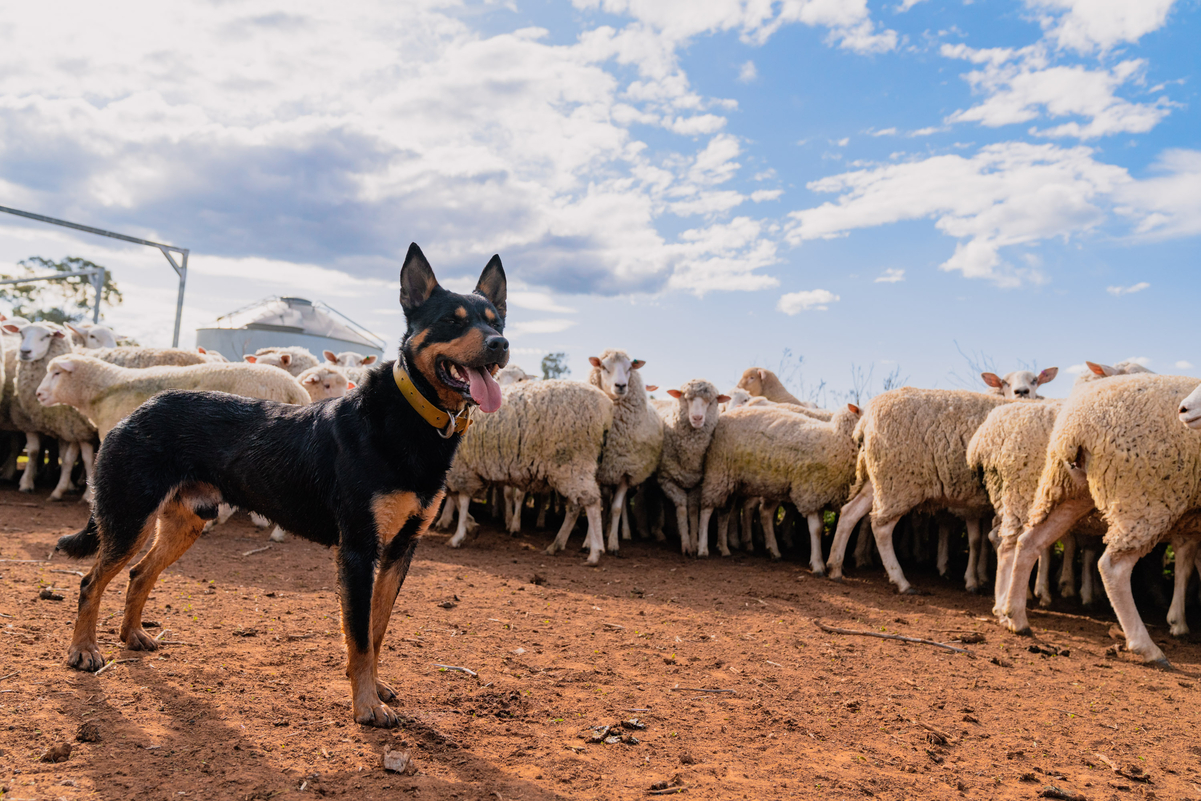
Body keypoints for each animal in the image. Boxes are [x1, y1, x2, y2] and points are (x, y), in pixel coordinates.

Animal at [57, 242, 506, 725]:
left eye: (497, 320)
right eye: (453, 321)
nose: (501, 343)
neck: (414, 416)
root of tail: (138, 412)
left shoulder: (400, 550)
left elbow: (377, 629)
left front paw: (375, 688)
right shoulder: (358, 550)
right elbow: (360, 636)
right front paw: (365, 704)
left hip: (184, 523)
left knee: (139, 573)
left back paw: (132, 636)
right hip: (130, 519)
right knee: (90, 582)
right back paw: (84, 651)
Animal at [588, 348, 667, 552]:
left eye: (630, 367)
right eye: (603, 367)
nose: (621, 385)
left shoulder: (625, 470)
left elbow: (617, 507)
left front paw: (613, 543)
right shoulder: (598, 469)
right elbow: (597, 502)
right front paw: (589, 542)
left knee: (621, 503)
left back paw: (623, 532)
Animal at [658, 381, 730, 557]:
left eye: (711, 402)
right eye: (686, 398)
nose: (697, 418)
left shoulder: (699, 483)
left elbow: (692, 509)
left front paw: (694, 541)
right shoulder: (666, 480)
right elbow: (682, 508)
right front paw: (686, 544)